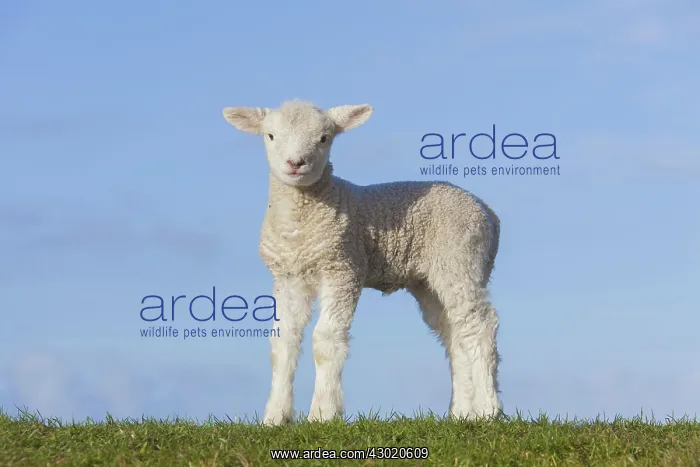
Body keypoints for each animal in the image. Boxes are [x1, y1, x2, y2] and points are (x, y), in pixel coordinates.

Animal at [222, 100, 502, 425]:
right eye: (270, 136)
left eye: (324, 138)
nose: (296, 163)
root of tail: (487, 211)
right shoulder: (288, 277)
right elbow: (283, 344)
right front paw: (275, 416)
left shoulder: (343, 268)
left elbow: (325, 339)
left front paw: (322, 413)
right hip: (430, 279)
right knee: (455, 333)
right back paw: (462, 413)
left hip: (460, 259)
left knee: (479, 325)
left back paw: (488, 409)